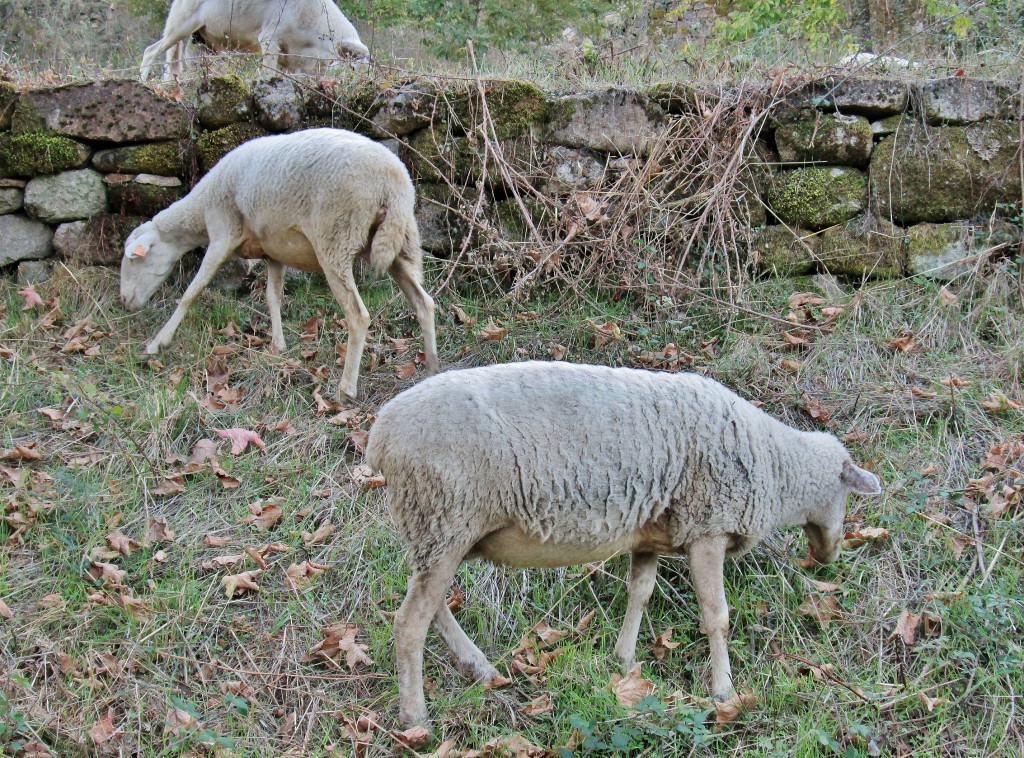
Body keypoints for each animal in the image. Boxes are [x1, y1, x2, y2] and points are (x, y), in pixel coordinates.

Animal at [120, 127, 440, 399]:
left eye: (135, 261)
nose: (125, 301)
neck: (200, 208)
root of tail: (394, 182)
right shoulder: (275, 252)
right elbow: (272, 297)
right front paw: (278, 346)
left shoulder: (222, 233)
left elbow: (191, 293)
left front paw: (157, 343)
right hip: (395, 242)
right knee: (424, 302)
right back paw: (432, 368)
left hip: (336, 240)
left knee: (358, 316)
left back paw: (346, 390)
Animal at [140, 0, 368, 82]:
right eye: (353, 69)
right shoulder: (269, 41)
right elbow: (267, 74)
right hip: (179, 30)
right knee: (150, 51)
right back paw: (143, 82)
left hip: (204, 49)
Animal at [368, 360, 880, 729]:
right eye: (846, 493)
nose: (829, 557)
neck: (774, 465)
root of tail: (379, 435)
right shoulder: (707, 529)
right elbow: (716, 616)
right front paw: (724, 691)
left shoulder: (650, 534)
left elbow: (641, 592)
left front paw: (624, 658)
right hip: (445, 518)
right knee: (409, 622)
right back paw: (416, 718)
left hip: (438, 531)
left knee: (432, 607)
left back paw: (480, 669)